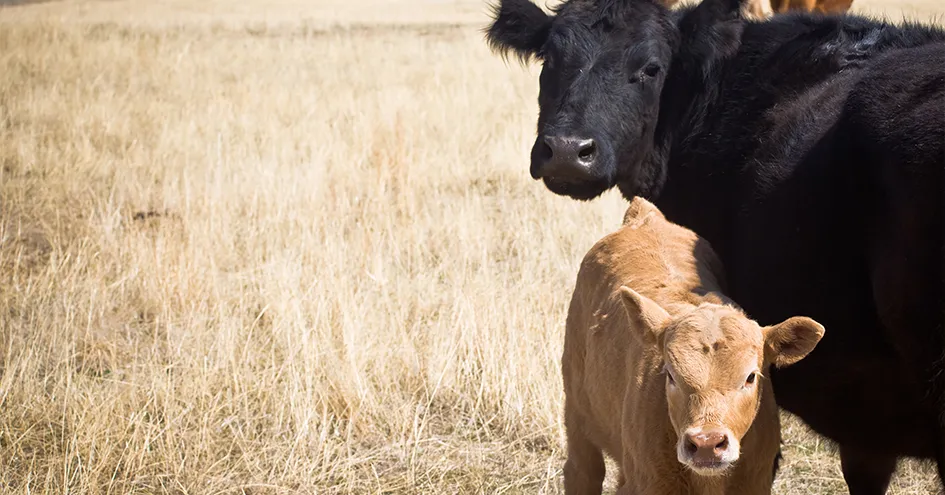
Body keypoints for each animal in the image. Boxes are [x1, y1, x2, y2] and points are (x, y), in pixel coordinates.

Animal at [563, 197, 824, 494]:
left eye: (750, 377)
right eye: (670, 375)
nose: (707, 444)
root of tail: (644, 217)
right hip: (576, 409)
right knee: (583, 470)